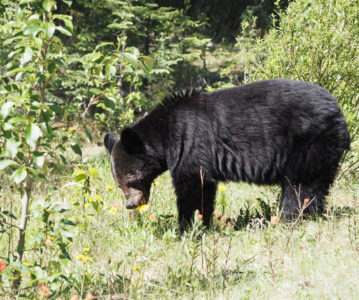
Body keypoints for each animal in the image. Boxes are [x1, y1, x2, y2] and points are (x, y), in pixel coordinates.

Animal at [105, 78, 352, 229]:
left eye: (131, 180)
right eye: (119, 184)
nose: (131, 205)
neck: (164, 133)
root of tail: (338, 111)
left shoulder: (189, 139)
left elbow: (194, 183)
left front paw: (188, 225)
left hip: (309, 141)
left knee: (300, 185)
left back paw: (289, 218)